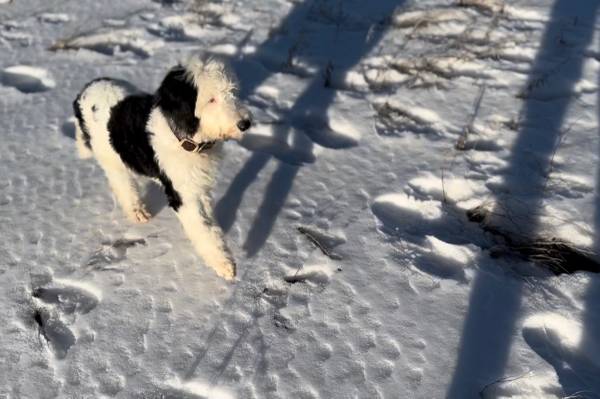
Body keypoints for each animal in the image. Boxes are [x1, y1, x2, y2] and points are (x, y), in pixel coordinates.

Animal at [72, 57, 251, 282]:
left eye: (232, 91)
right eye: (211, 99)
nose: (245, 124)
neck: (183, 136)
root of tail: (85, 90)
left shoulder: (198, 187)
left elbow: (209, 224)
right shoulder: (182, 195)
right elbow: (201, 229)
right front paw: (224, 264)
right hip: (110, 158)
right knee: (123, 185)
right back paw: (137, 212)